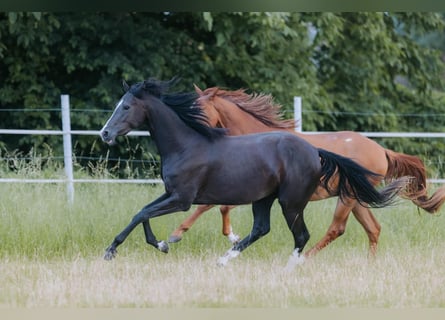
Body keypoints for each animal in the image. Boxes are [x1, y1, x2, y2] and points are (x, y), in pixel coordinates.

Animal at [99, 78, 408, 268]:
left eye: (126, 106)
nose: (105, 133)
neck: (187, 145)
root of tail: (314, 151)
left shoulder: (183, 199)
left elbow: (144, 214)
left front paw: (111, 251)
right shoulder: (171, 194)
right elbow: (142, 212)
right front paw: (161, 244)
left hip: (294, 202)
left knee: (307, 235)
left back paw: (291, 267)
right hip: (269, 199)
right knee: (263, 229)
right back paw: (224, 260)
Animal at [167, 86, 444, 256]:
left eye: (201, 110)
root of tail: (382, 151)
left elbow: (213, 205)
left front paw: (179, 235)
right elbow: (213, 206)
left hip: (348, 197)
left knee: (337, 228)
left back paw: (305, 258)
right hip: (356, 198)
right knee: (373, 229)